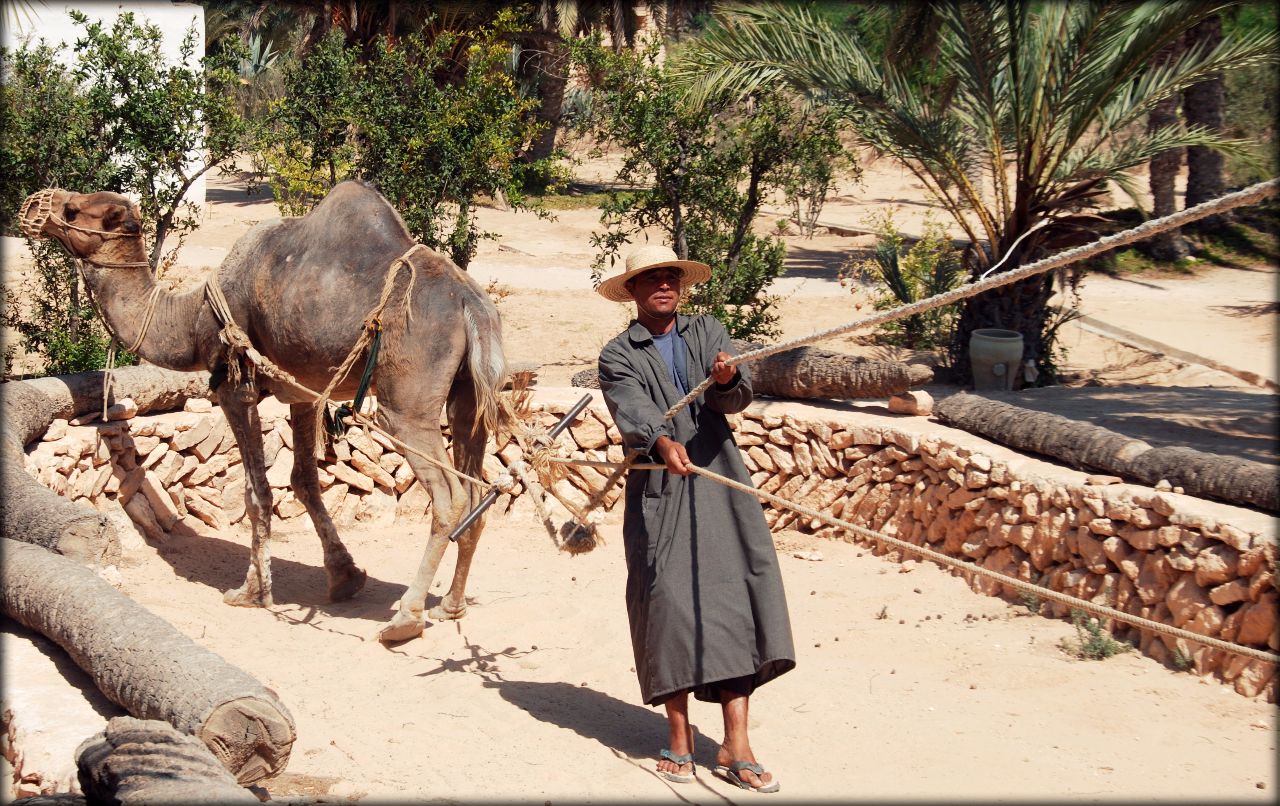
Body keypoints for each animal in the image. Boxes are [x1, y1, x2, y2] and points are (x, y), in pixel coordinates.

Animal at [23, 180, 507, 643]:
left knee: (449, 494)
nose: (32, 206)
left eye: (73, 211)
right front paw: (345, 576)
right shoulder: (303, 390)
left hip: (406, 405)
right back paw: (451, 607)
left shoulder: (235, 385)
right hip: (470, 395)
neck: (192, 316)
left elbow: (256, 493)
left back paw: (405, 618)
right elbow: (304, 481)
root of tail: (471, 307)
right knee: (479, 483)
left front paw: (250, 592)